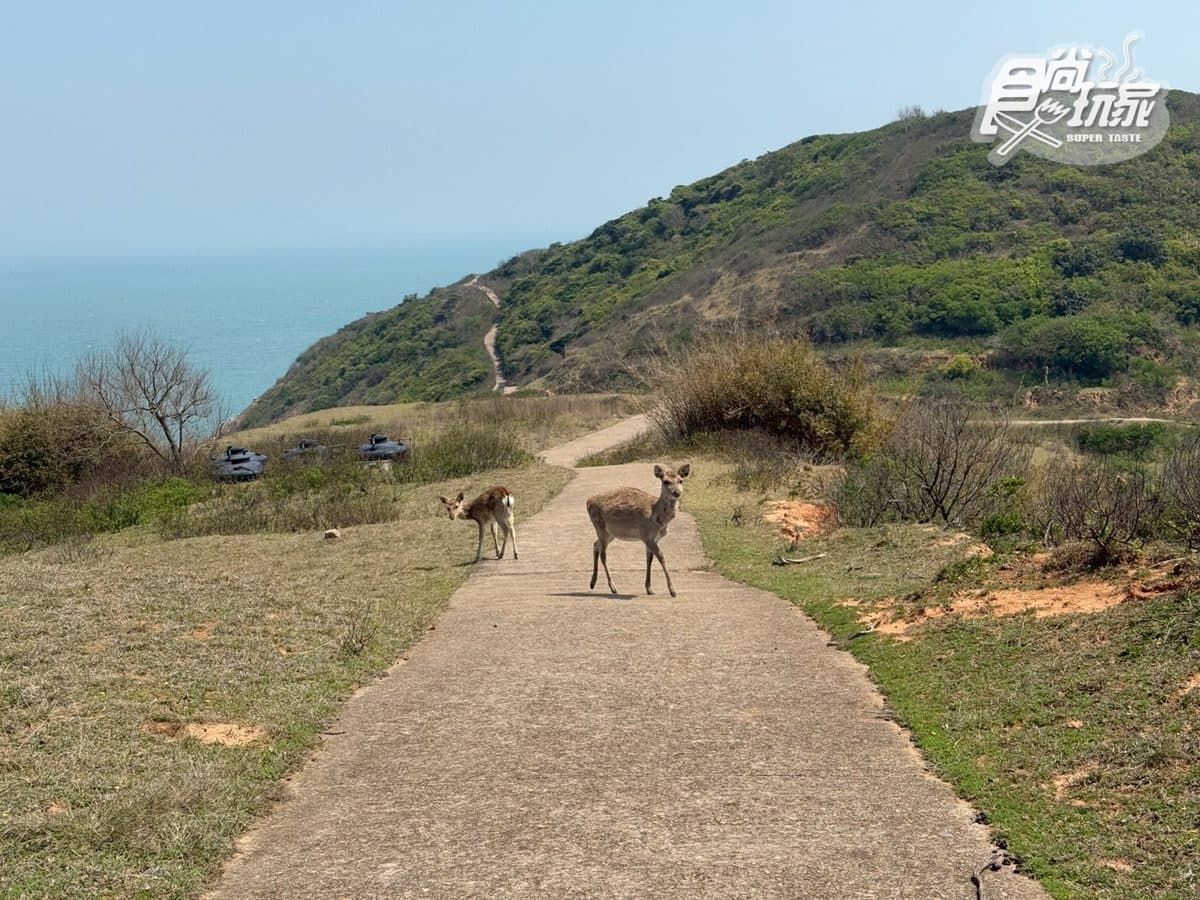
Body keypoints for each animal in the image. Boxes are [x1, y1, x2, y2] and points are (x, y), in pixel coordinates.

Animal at [586, 464, 690, 598]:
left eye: (680, 480)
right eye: (666, 481)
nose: (677, 492)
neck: (659, 519)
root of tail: (588, 502)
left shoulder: (653, 538)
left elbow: (649, 559)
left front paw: (649, 589)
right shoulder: (646, 534)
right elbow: (661, 557)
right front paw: (672, 591)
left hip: (611, 533)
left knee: (595, 545)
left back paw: (592, 583)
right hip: (600, 526)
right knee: (603, 554)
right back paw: (613, 587)